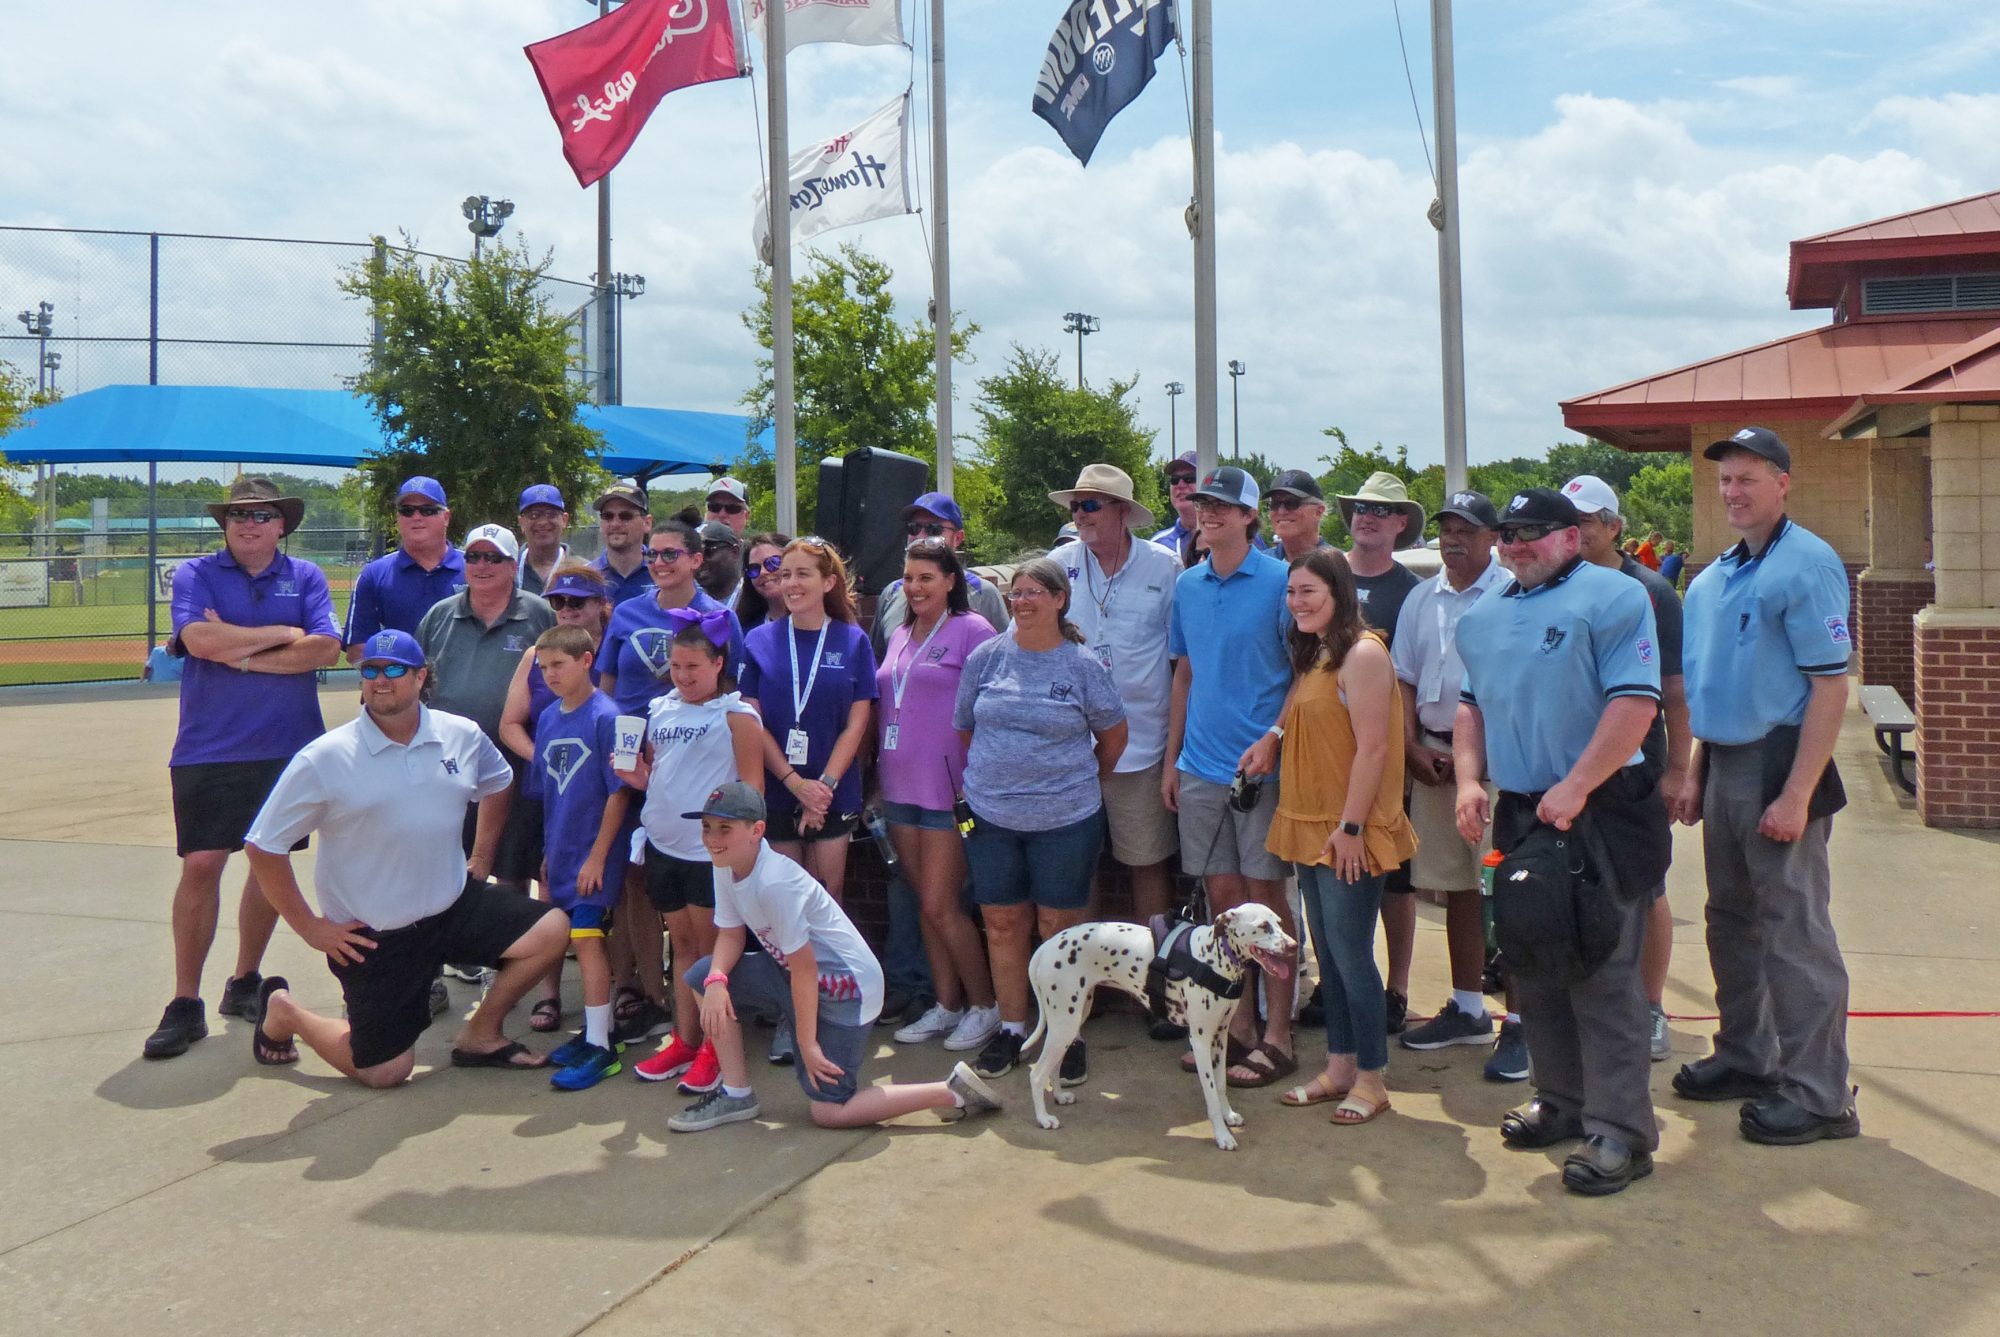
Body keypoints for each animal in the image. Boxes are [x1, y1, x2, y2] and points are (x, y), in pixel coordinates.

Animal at [1032, 908, 1296, 1152]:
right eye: (1263, 926)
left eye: (1280, 923)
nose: (1293, 946)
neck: (1213, 956)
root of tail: (1044, 947)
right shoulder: (1200, 1042)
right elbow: (1210, 1093)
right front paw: (1222, 1136)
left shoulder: (1220, 1038)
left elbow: (1221, 1085)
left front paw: (1228, 1116)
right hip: (1064, 1025)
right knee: (1037, 1073)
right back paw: (1043, 1118)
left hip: (1070, 1023)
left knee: (1052, 1066)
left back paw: (1059, 1097)